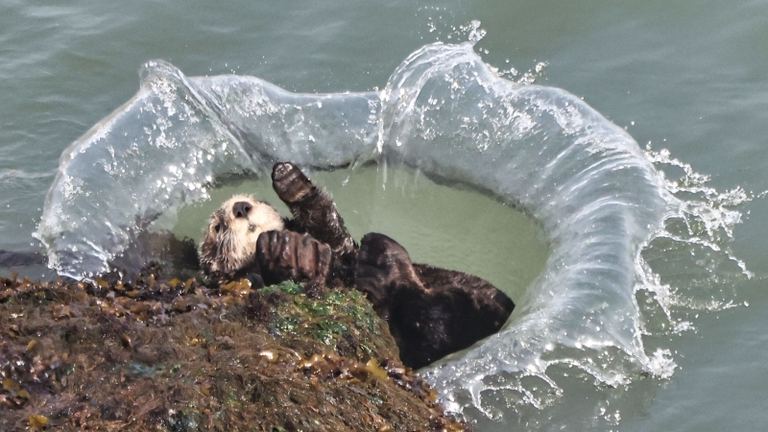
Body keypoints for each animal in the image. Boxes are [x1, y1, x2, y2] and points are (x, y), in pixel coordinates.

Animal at [200, 162, 515, 368]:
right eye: (217, 227)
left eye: (258, 199)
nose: (241, 206)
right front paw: (286, 252)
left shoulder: (341, 249)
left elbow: (329, 227)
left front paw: (291, 182)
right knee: (427, 315)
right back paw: (382, 263)